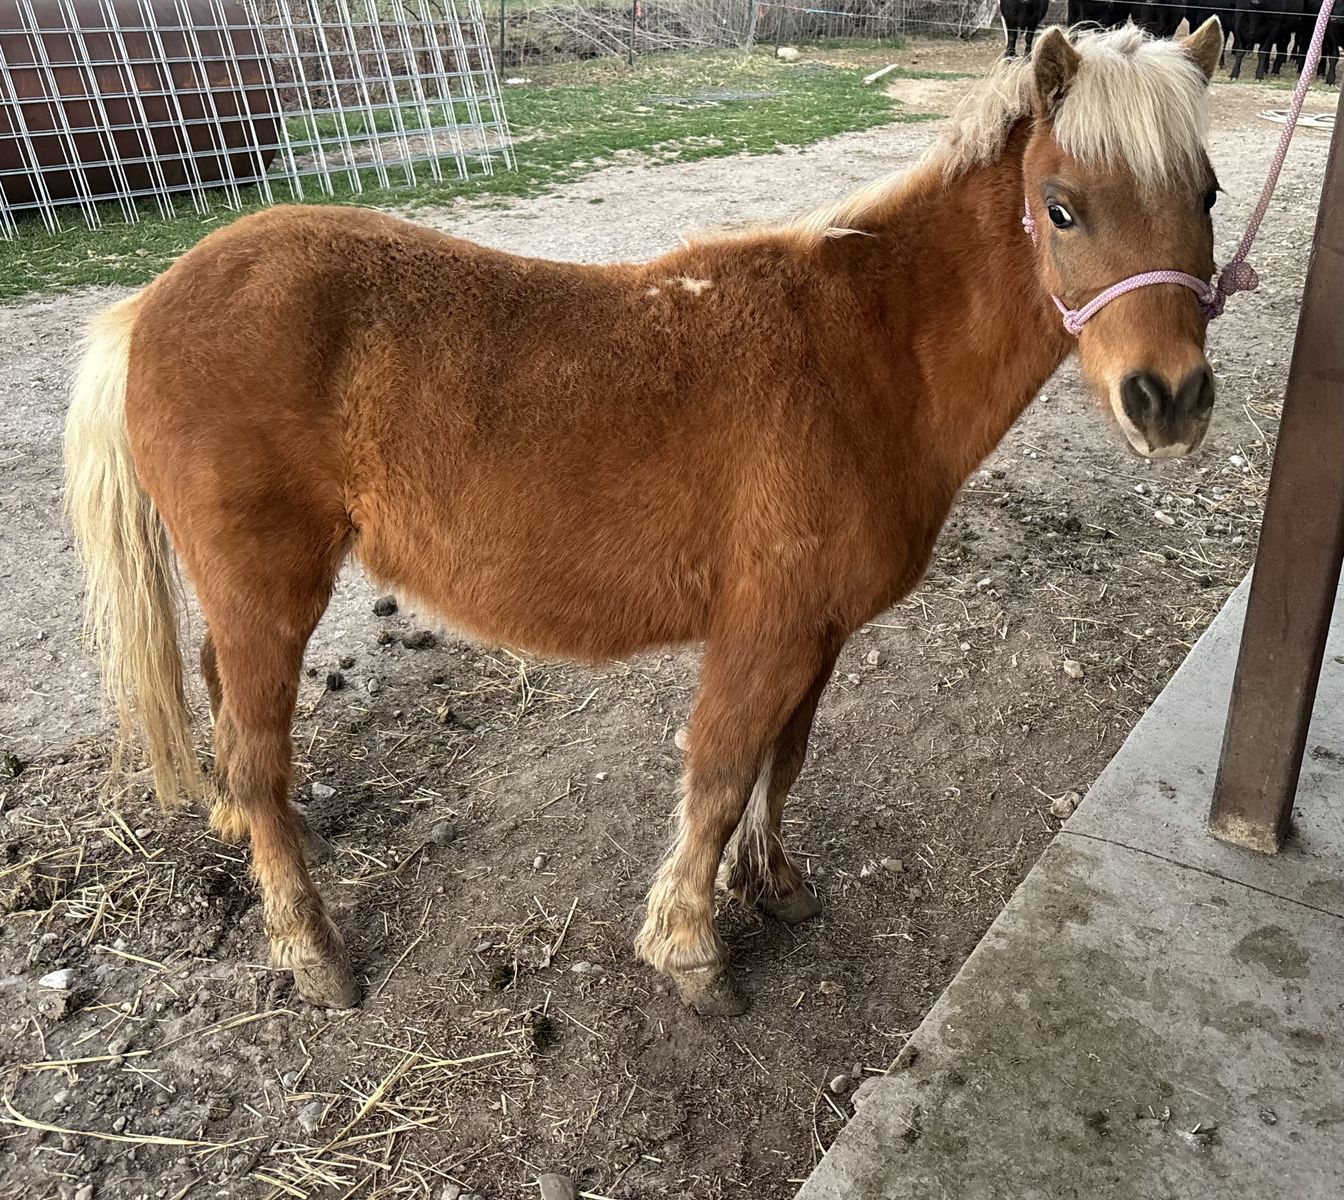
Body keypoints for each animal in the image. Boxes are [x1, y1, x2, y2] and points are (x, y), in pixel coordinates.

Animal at [64, 21, 1226, 1017]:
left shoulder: (816, 634)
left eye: (1208, 195)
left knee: (226, 710)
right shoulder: (764, 632)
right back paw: (309, 948)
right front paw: (691, 949)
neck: (863, 354)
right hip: (268, 586)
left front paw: (774, 882)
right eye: (1062, 206)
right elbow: (717, 775)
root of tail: (153, 302)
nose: (1168, 400)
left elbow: (782, 762)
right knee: (257, 753)